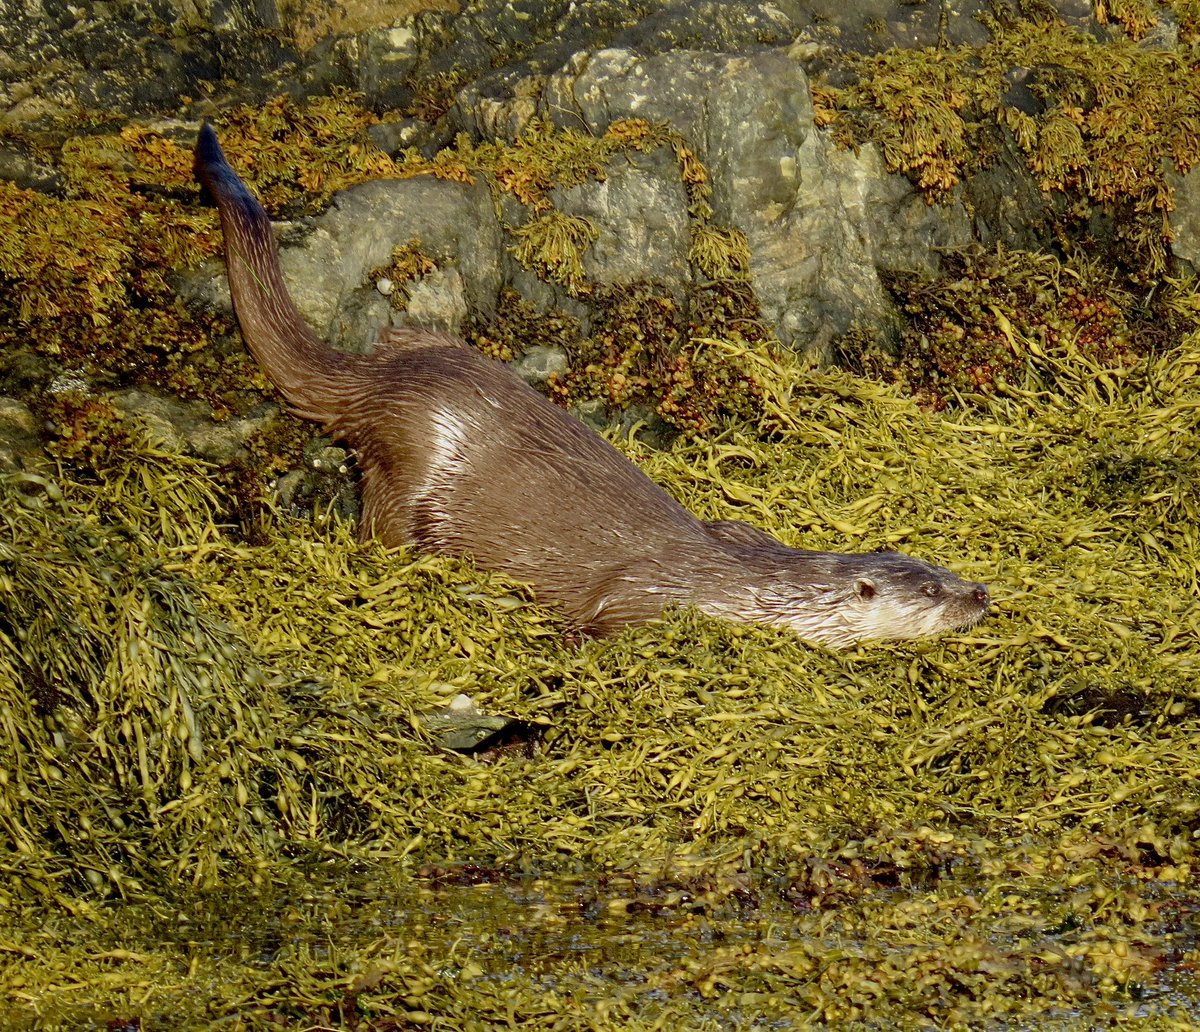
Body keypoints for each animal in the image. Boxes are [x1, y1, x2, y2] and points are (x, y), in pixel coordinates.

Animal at [193, 124, 989, 647]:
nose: (980, 591)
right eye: (930, 591)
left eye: (939, 565)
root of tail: (380, 381)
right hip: (410, 465)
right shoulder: (650, 599)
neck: (750, 587)